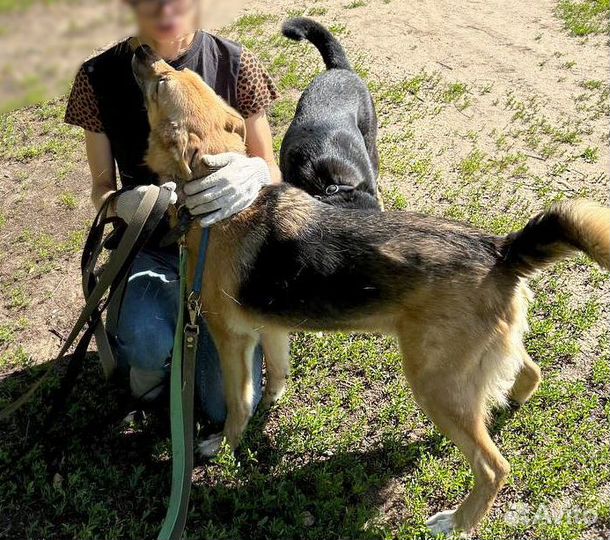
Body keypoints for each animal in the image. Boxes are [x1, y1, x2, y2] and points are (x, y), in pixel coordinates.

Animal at [132, 44, 608, 532]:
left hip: (436, 385)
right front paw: (270, 406)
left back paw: (458, 522)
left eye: (163, 84)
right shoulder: (273, 326)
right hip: (476, 363)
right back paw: (508, 403)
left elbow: (239, 402)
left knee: (495, 467)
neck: (226, 207)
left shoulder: (232, 339)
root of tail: (500, 249)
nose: (142, 49)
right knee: (528, 371)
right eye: (180, 75)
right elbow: (277, 374)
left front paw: (224, 444)